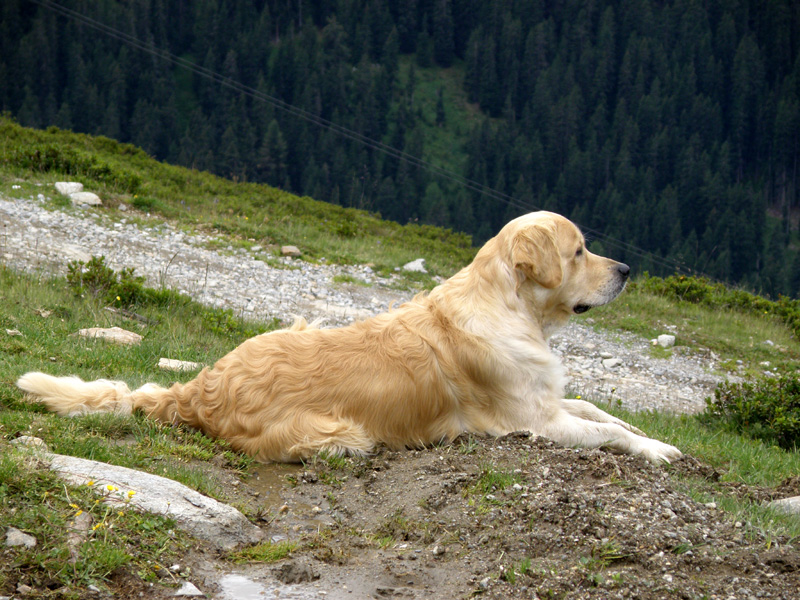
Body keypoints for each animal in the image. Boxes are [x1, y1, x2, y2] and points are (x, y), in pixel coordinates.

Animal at [15, 211, 680, 464]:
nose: (627, 269)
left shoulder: (547, 399)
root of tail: (200, 390)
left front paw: (649, 431)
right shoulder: (532, 422)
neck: (513, 310)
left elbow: (598, 410)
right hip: (346, 436)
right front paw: (657, 449)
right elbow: (603, 431)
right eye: (580, 251)